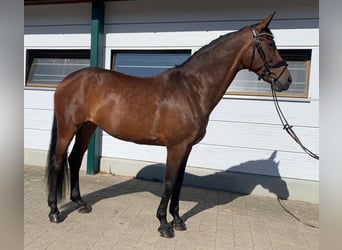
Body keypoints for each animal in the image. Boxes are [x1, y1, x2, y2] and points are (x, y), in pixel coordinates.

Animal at [45, 14, 292, 238]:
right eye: (270, 44)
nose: (287, 80)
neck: (192, 89)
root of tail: (66, 81)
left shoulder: (186, 148)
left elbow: (179, 182)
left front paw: (178, 220)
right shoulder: (175, 147)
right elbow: (170, 182)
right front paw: (164, 224)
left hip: (87, 128)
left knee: (75, 159)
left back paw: (80, 203)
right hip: (68, 129)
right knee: (58, 162)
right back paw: (54, 212)